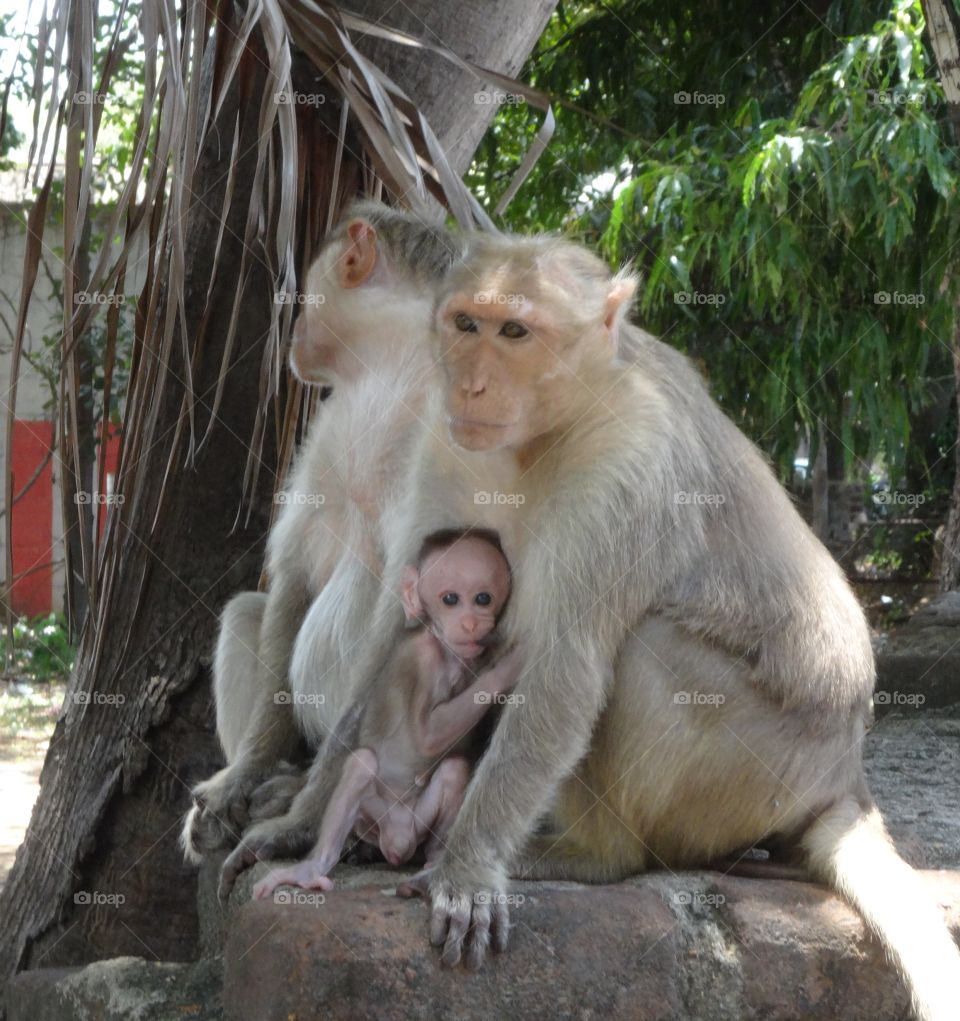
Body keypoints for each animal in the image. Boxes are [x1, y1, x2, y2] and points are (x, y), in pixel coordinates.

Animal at [180, 201, 462, 862]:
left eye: (308, 290)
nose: (296, 331)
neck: (392, 371)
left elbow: (407, 622)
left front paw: (301, 825)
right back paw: (279, 776)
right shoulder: (334, 422)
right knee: (250, 613)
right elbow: (294, 576)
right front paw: (245, 775)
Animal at [251, 527, 520, 901]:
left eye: (483, 598)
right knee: (361, 764)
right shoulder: (422, 660)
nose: (469, 623)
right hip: (372, 822)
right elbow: (425, 735)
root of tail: (397, 844)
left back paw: (434, 859)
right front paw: (506, 669)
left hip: (417, 823)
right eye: (450, 599)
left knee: (454, 769)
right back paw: (313, 867)